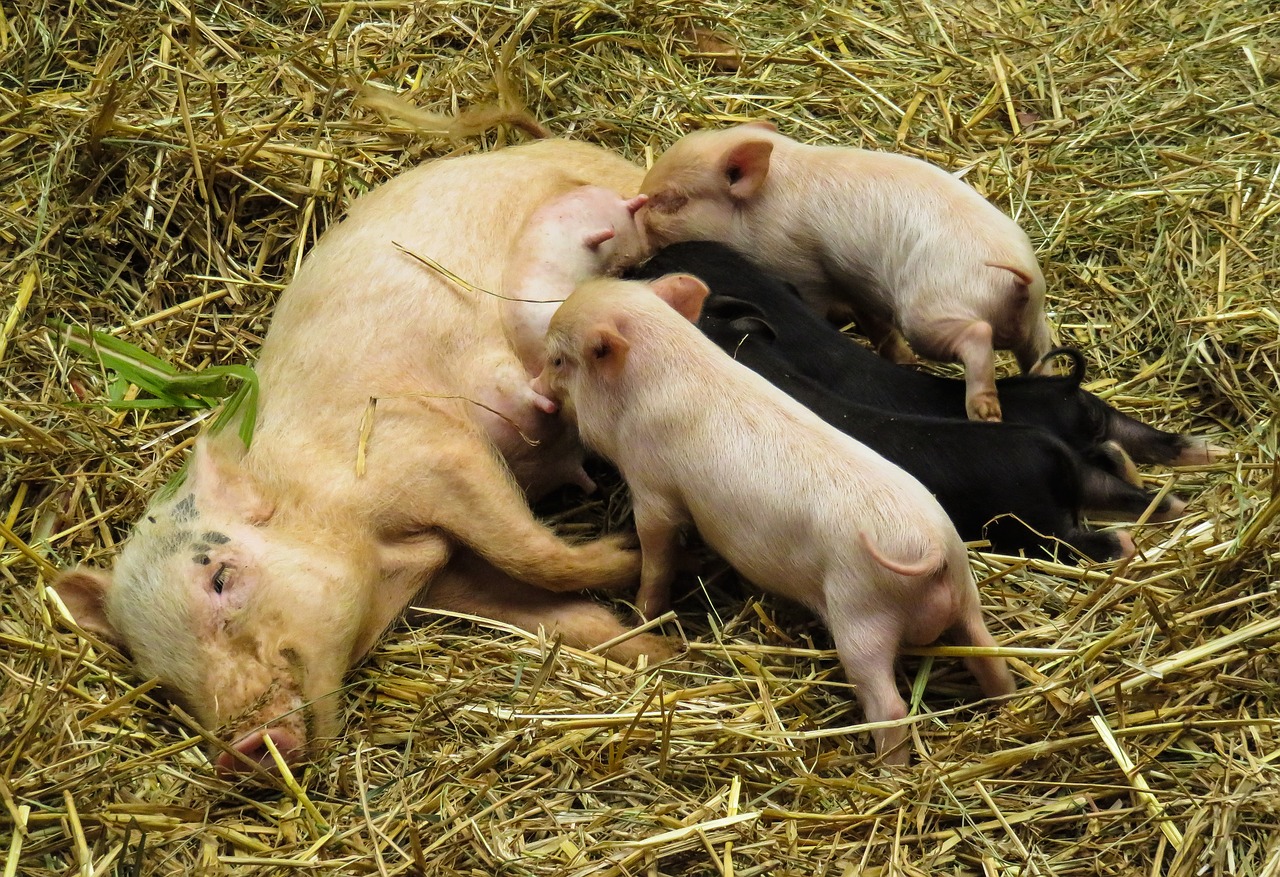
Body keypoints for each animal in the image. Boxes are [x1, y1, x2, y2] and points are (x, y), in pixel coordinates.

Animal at [53, 140, 670, 777]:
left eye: (220, 578)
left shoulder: (434, 451)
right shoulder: (446, 578)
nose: (243, 749)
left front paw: (626, 556)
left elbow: (530, 553)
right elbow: (555, 613)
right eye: (157, 675)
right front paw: (657, 649)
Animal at [533, 274, 1016, 763]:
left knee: (890, 706)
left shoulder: (652, 488)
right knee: (991, 656)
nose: (534, 387)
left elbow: (656, 554)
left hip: (862, 616)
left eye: (557, 359)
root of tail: (932, 548)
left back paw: (887, 767)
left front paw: (641, 614)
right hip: (965, 593)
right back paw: (1004, 704)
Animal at [629, 241, 1215, 491]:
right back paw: (1210, 452)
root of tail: (1069, 391)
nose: (636, 264)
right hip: (1103, 415)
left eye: (658, 263)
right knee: (1143, 437)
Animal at [639, 122, 1054, 423]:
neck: (760, 209)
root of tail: (1016, 277)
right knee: (1040, 352)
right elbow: (876, 325)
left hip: (931, 315)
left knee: (977, 335)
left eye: (671, 200)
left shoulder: (802, 270)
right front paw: (900, 359)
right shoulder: (857, 286)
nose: (635, 212)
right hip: (1033, 321)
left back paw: (985, 415)